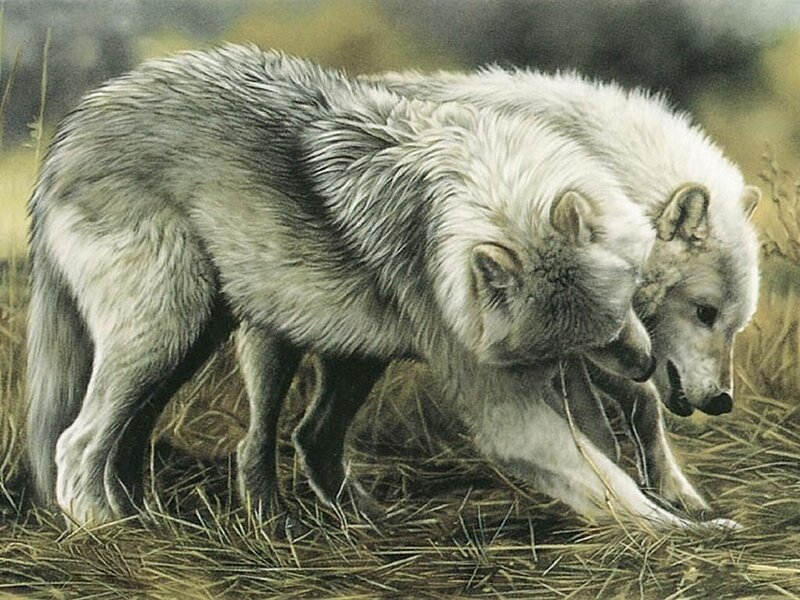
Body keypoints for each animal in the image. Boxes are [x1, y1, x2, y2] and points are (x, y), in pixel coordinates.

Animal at [26, 46, 656, 526]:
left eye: (623, 307)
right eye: (597, 336)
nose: (647, 367)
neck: (479, 193)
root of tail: (74, 130)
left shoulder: (554, 370)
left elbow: (603, 452)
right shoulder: (504, 404)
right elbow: (601, 478)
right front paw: (668, 531)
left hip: (225, 345)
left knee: (278, 436)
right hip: (167, 334)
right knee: (76, 441)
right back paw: (105, 528)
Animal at [377, 67, 761, 513]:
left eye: (737, 325)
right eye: (705, 312)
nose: (723, 403)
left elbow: (639, 403)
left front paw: (675, 492)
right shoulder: (571, 341)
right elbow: (629, 407)